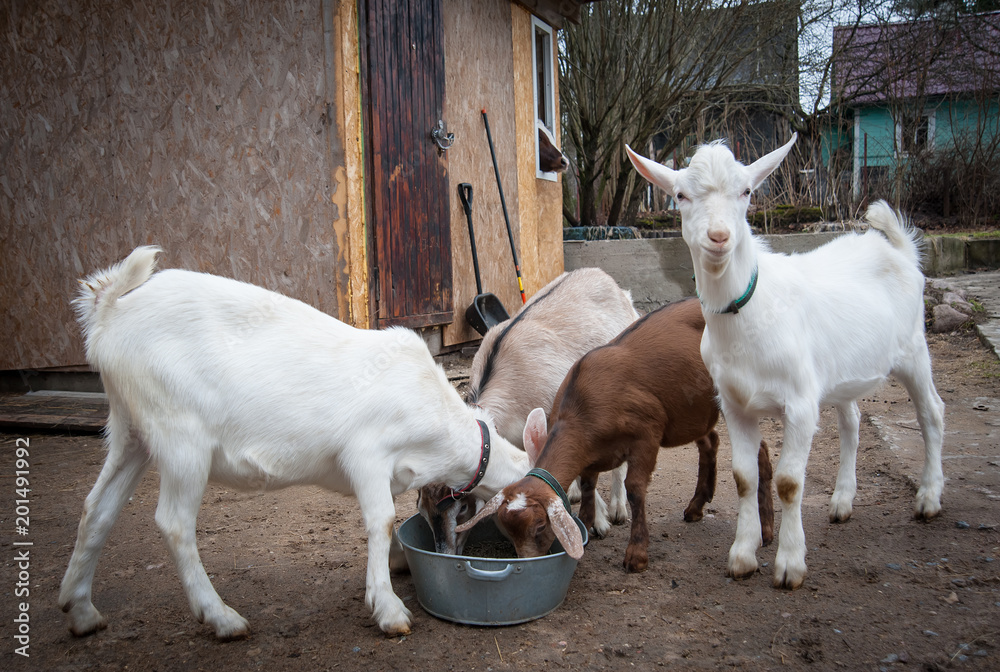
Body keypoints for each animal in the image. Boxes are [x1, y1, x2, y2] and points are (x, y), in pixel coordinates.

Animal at [59, 246, 529, 639]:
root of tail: (109, 312)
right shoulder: (366, 455)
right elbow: (380, 521)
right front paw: (388, 608)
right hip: (180, 437)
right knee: (174, 522)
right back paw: (221, 618)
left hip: (131, 432)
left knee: (97, 509)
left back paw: (80, 611)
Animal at [419, 268, 638, 555]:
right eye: (423, 512)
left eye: (463, 507)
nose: (444, 553)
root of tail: (604, 277)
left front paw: (599, 521)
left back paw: (618, 508)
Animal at [458, 298, 775, 572]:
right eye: (508, 532)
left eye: (539, 526)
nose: (527, 563)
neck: (583, 407)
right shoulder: (590, 453)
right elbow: (587, 488)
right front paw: (587, 526)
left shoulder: (648, 433)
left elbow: (634, 489)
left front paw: (636, 555)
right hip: (695, 409)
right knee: (710, 441)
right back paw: (696, 506)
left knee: (759, 451)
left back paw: (767, 529)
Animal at [627, 137, 945, 590]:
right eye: (681, 195)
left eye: (746, 191)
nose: (719, 236)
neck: (752, 312)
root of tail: (898, 249)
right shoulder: (736, 405)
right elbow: (744, 477)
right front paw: (742, 557)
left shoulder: (799, 403)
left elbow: (790, 482)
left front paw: (790, 566)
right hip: (839, 374)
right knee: (851, 421)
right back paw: (842, 502)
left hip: (914, 349)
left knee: (931, 413)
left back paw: (928, 499)